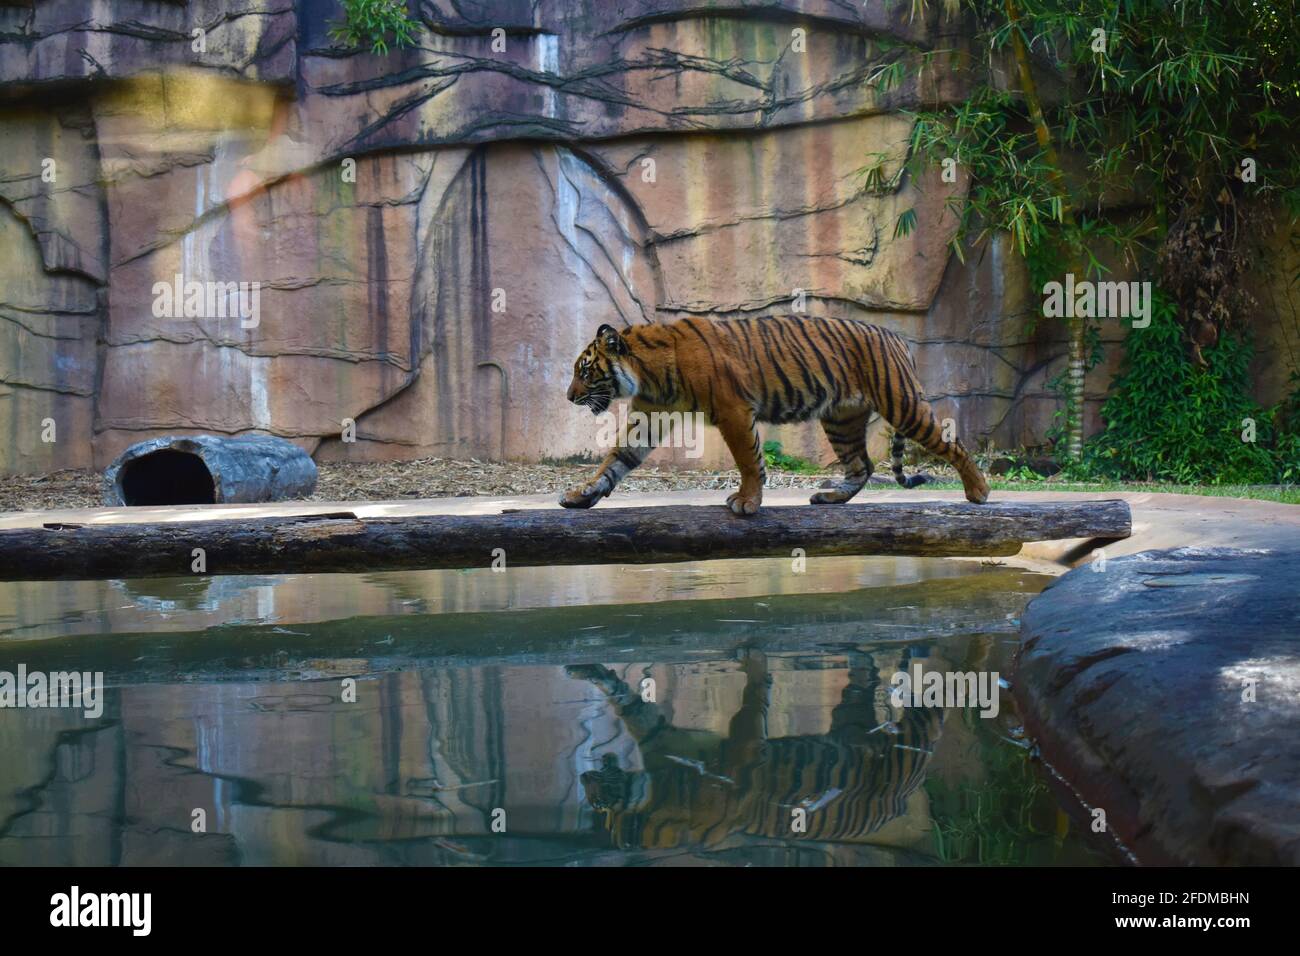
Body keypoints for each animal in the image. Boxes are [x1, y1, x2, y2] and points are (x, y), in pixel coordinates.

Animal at [564, 317, 987, 515]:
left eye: (584, 371)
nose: (569, 397)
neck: (648, 374)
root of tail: (898, 337)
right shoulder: (651, 416)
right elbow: (615, 460)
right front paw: (583, 494)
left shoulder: (733, 410)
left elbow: (749, 460)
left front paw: (747, 502)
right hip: (841, 418)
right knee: (861, 465)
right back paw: (831, 496)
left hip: (902, 403)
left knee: (952, 442)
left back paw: (979, 491)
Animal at [564, 650, 941, 853]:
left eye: (599, 805)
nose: (582, 777)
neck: (658, 791)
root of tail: (902, 805)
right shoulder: (660, 737)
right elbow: (628, 701)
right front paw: (587, 671)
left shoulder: (741, 755)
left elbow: (752, 701)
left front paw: (753, 660)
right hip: (851, 717)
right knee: (865, 679)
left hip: (915, 735)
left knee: (935, 699)